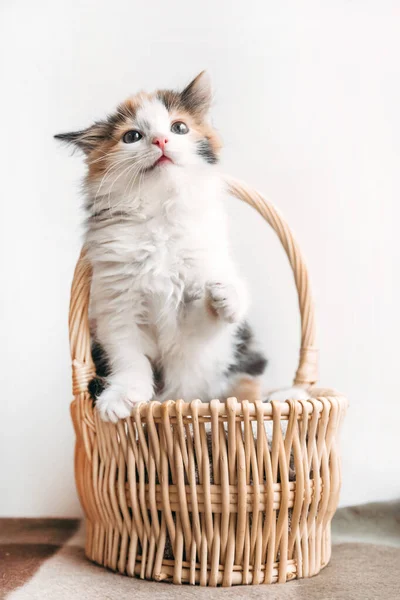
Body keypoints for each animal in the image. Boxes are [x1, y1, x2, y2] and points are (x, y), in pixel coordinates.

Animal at [54, 71, 268, 422]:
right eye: (132, 136)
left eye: (179, 128)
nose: (160, 141)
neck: (159, 216)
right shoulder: (116, 305)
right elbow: (128, 356)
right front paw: (122, 397)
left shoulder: (200, 319)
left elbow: (205, 324)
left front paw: (224, 296)